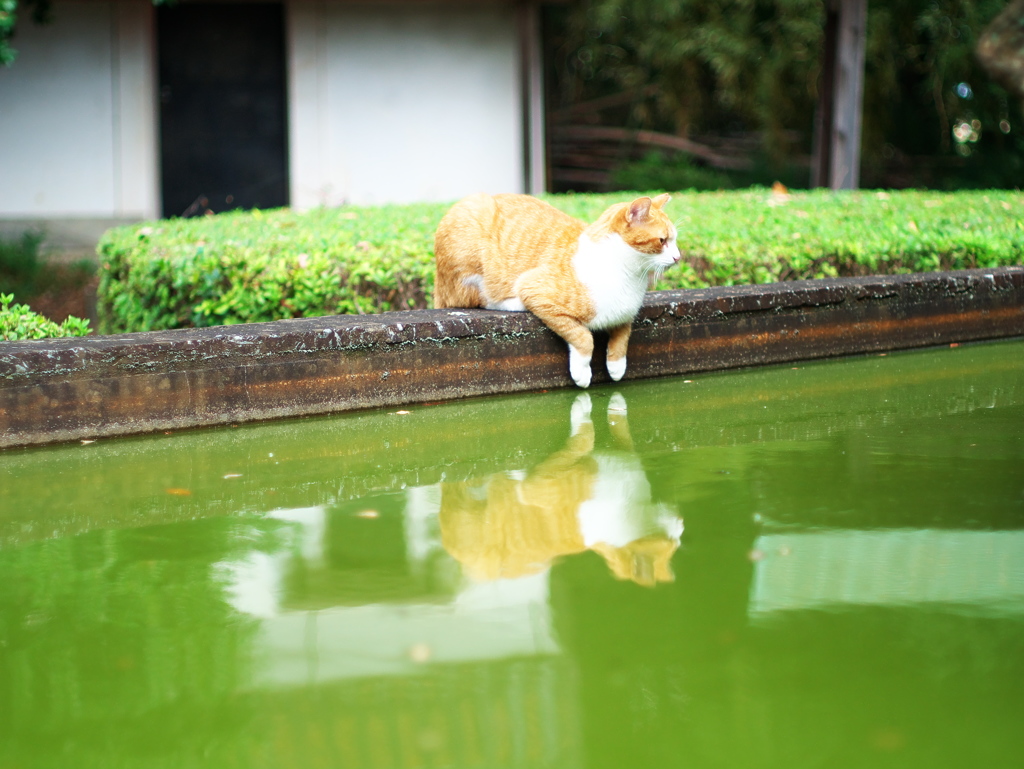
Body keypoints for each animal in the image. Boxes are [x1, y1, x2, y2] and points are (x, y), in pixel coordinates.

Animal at [432, 192, 679, 385]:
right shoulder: (534, 287)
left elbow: (623, 334)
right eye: (662, 241)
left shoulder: (624, 314)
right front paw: (582, 371)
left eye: (674, 241)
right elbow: (583, 337)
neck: (626, 274)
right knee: (475, 298)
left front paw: (616, 365)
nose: (678, 257)